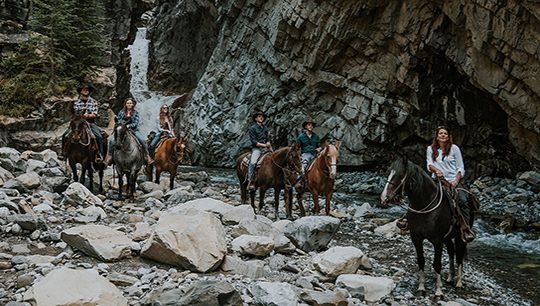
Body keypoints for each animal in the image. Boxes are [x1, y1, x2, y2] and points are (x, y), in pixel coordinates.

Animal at [380, 157, 476, 296]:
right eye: (388, 173)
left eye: (400, 175)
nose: (383, 198)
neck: (424, 206)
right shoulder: (416, 238)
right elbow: (421, 260)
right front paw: (421, 288)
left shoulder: (437, 241)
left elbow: (437, 263)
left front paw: (438, 291)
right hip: (447, 237)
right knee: (451, 252)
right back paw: (450, 277)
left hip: (460, 236)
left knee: (459, 256)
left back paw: (458, 283)